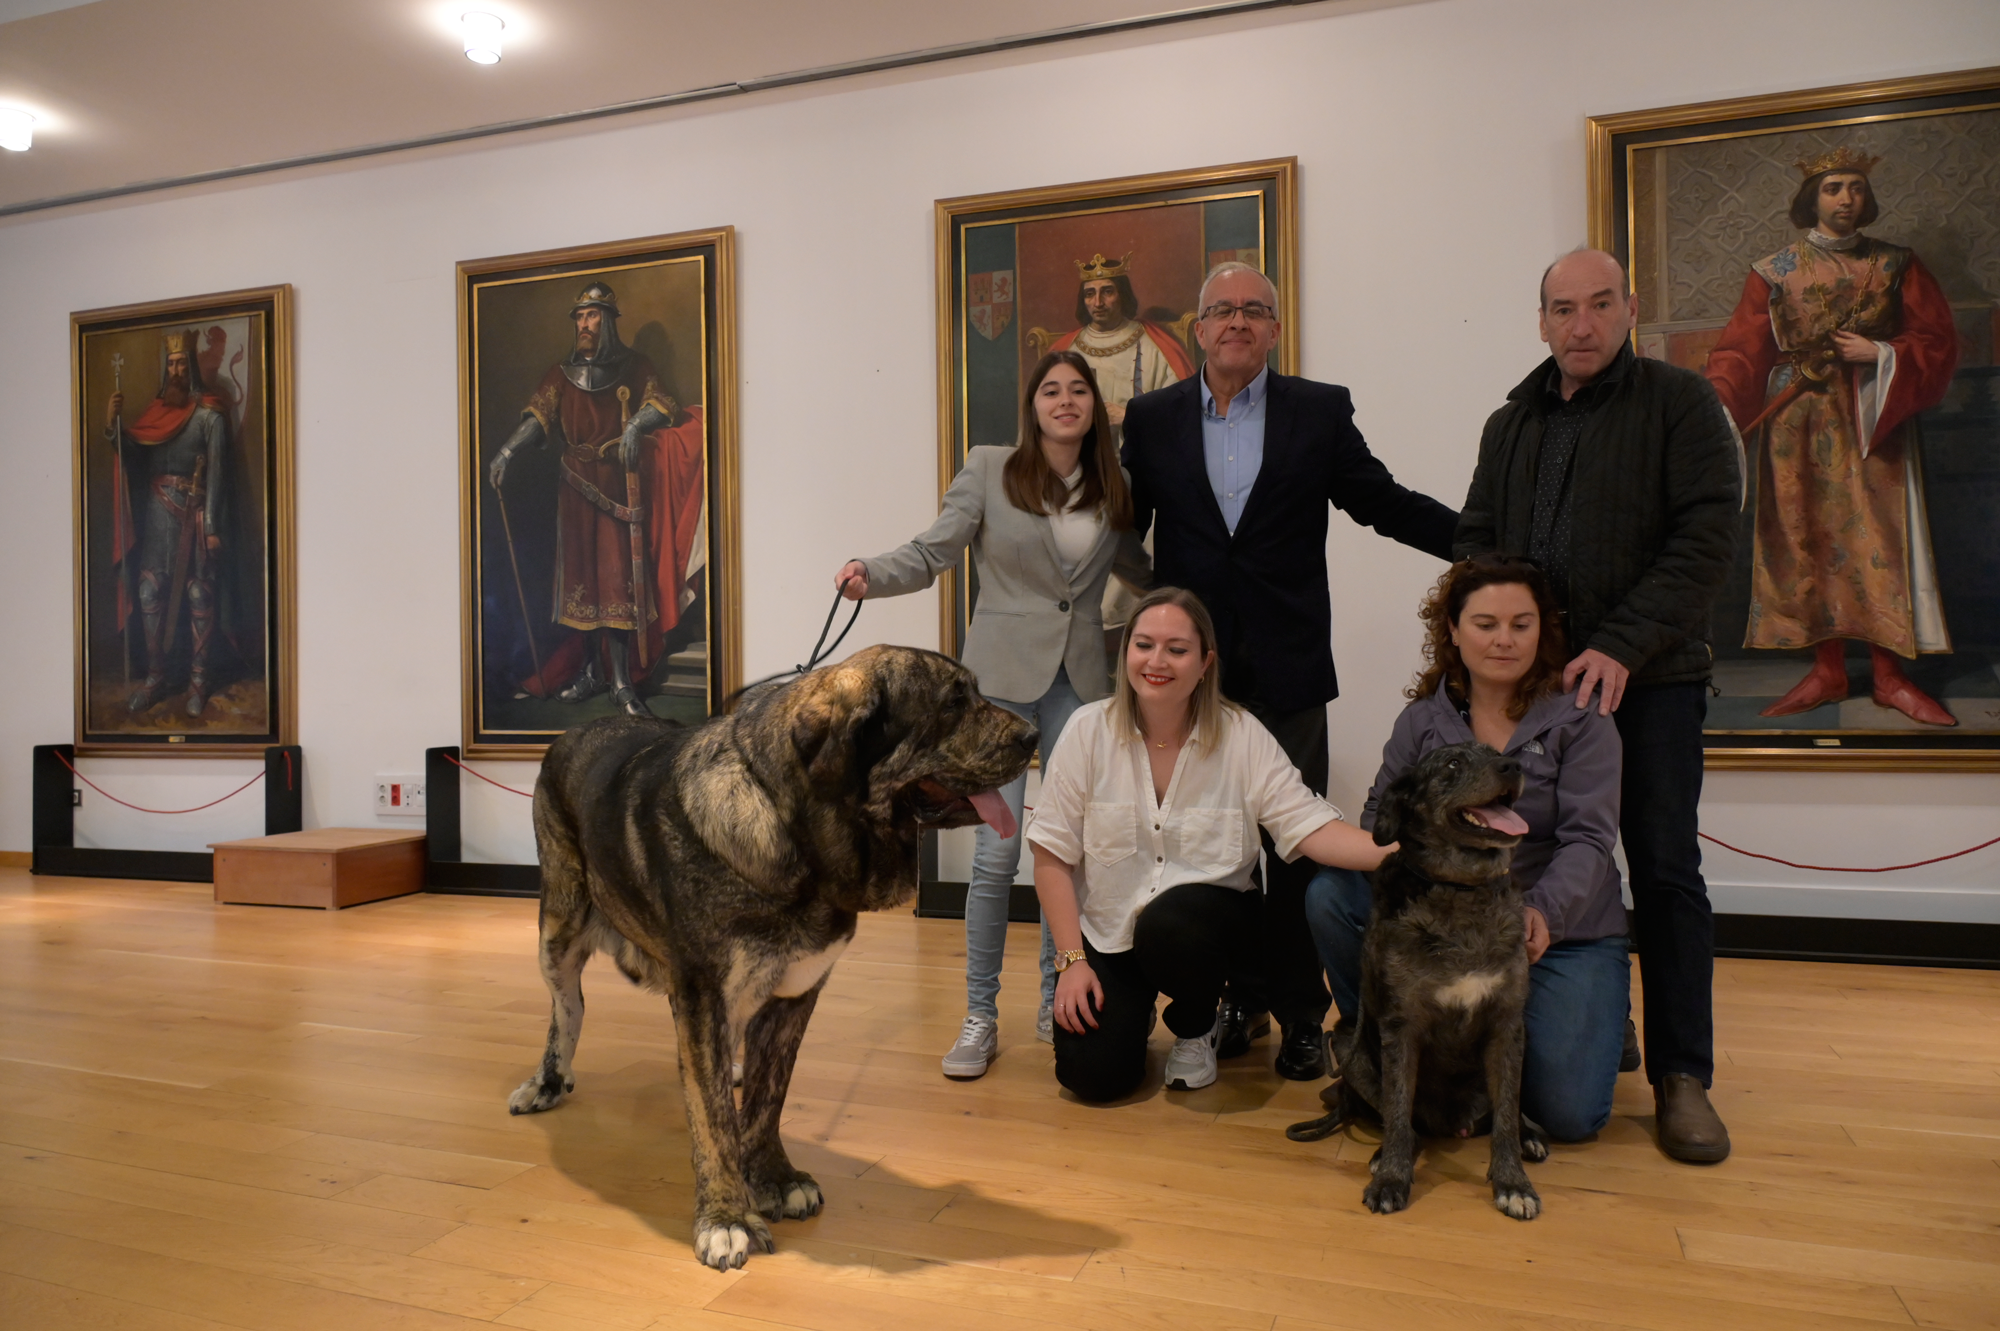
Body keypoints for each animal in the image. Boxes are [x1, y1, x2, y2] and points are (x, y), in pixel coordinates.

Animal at [504, 643, 1032, 1263]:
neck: (793, 826)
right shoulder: (703, 993)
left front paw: (773, 1177)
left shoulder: (795, 996)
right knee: (568, 1009)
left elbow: (766, 1099)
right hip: (557, 931)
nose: (1035, 735)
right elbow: (712, 1120)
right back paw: (547, 1080)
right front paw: (726, 1216)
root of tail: (572, 731)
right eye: (952, 704)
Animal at [1288, 739, 1552, 1215]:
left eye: (1496, 753)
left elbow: (1506, 1114)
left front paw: (1514, 1182)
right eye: (1452, 764)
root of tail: (1453, 1123)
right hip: (1347, 1044)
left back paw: (1529, 1136)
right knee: (1405, 1121)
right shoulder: (1401, 1029)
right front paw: (1392, 1177)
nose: (1513, 765)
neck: (1461, 889)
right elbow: (1397, 1109)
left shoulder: (1507, 1025)